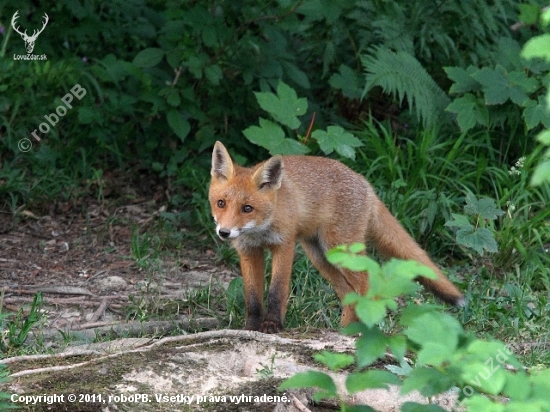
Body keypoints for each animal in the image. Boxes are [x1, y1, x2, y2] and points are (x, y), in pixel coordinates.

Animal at [209, 140, 464, 334]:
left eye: (247, 208)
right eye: (221, 203)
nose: (224, 232)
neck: (260, 230)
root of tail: (366, 183)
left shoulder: (284, 245)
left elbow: (276, 292)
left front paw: (272, 325)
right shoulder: (248, 250)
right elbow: (252, 296)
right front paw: (250, 328)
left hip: (341, 250)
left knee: (365, 282)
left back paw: (358, 330)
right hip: (321, 257)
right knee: (348, 292)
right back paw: (344, 330)